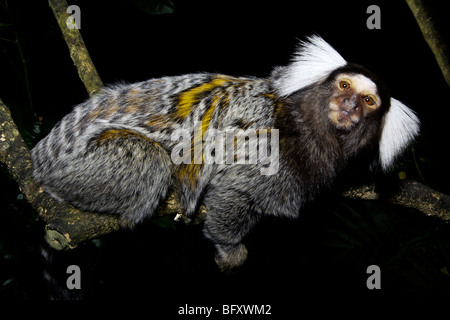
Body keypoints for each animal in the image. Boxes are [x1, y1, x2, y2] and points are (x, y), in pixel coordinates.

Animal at [31, 36, 418, 272]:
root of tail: (39, 159)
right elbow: (234, 190)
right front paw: (229, 248)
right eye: (343, 86)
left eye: (367, 101)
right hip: (82, 168)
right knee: (151, 161)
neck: (303, 122)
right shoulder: (266, 142)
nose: (348, 106)